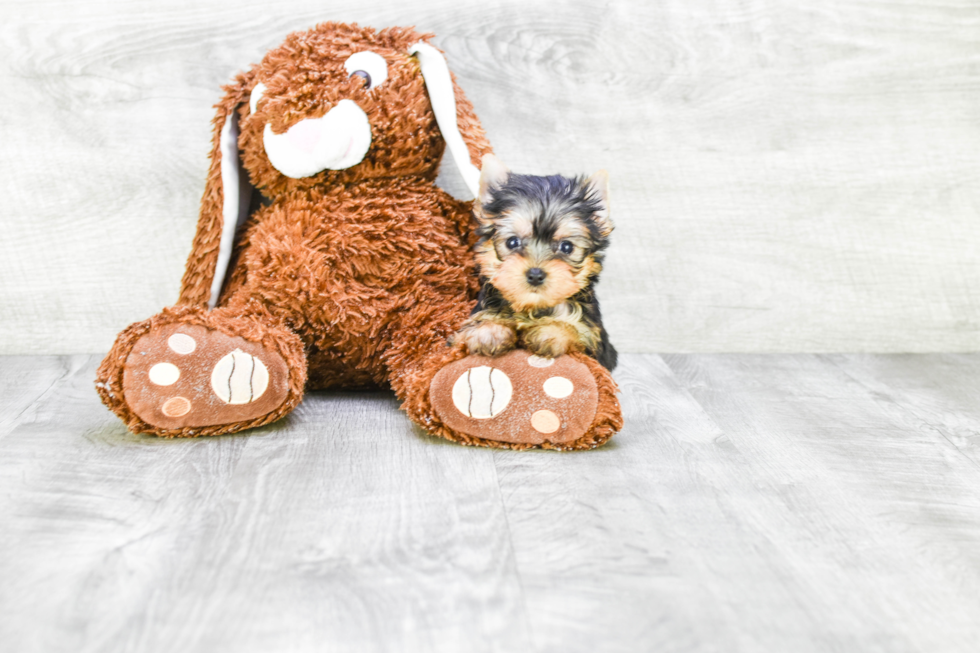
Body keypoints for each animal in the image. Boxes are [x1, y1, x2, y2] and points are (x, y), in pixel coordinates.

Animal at [456, 152, 616, 366]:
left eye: (567, 247)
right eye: (512, 242)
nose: (535, 274)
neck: (533, 307)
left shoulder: (593, 340)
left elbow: (575, 329)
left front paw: (551, 332)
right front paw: (489, 331)